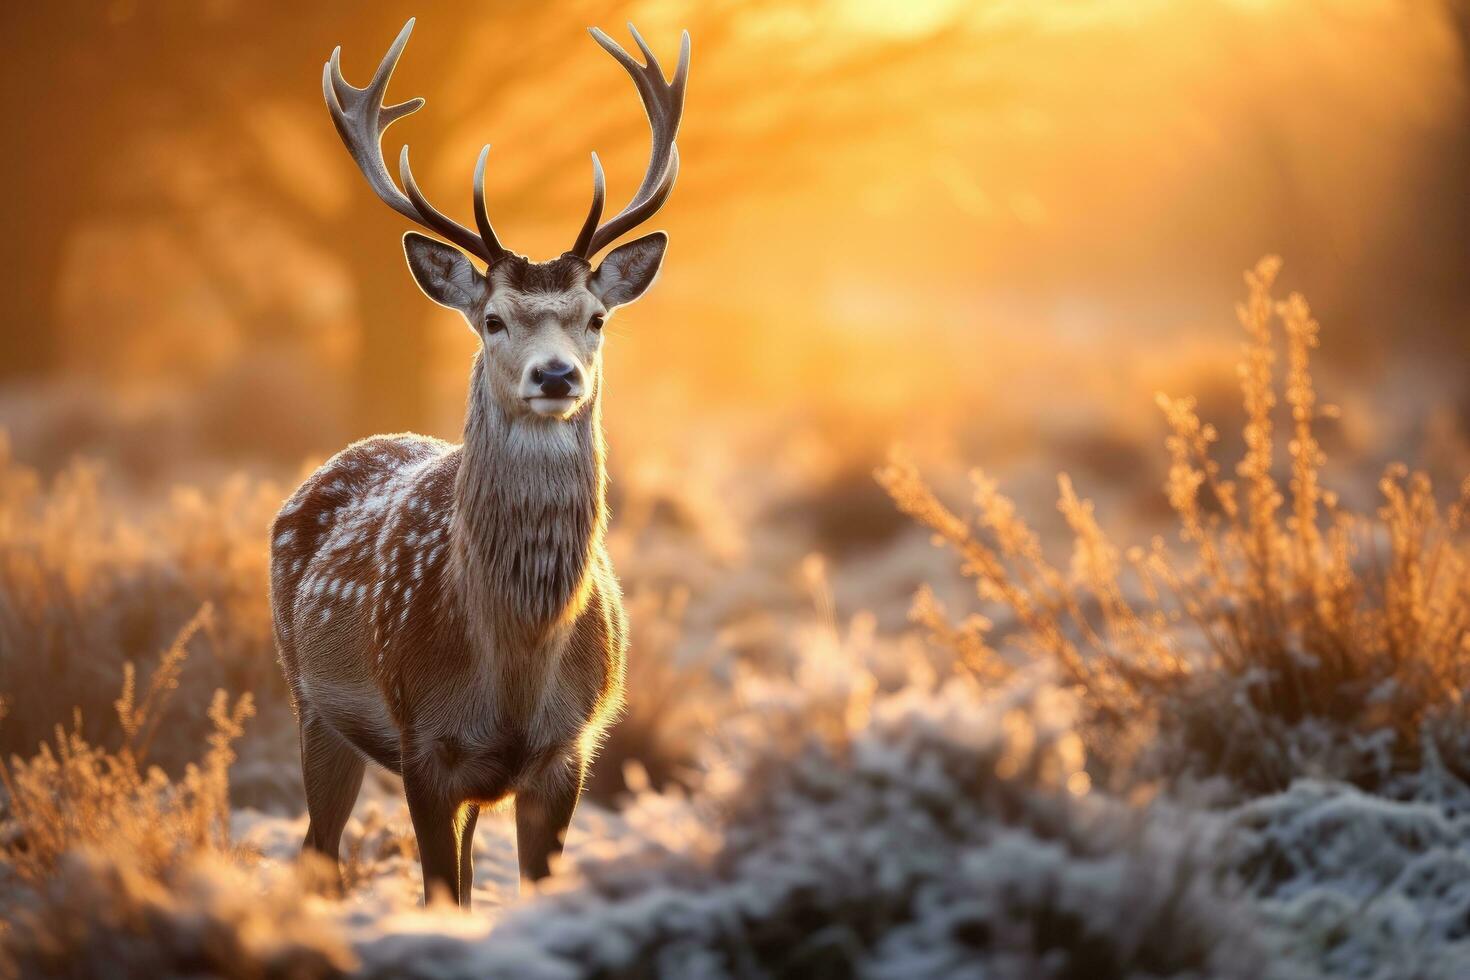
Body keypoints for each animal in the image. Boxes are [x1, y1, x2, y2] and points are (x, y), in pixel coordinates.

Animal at [270, 19, 687, 910]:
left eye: (596, 317)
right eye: (493, 319)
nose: (556, 375)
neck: (513, 665)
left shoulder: (567, 751)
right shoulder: (422, 742)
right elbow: (439, 895)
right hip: (309, 701)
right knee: (317, 850)